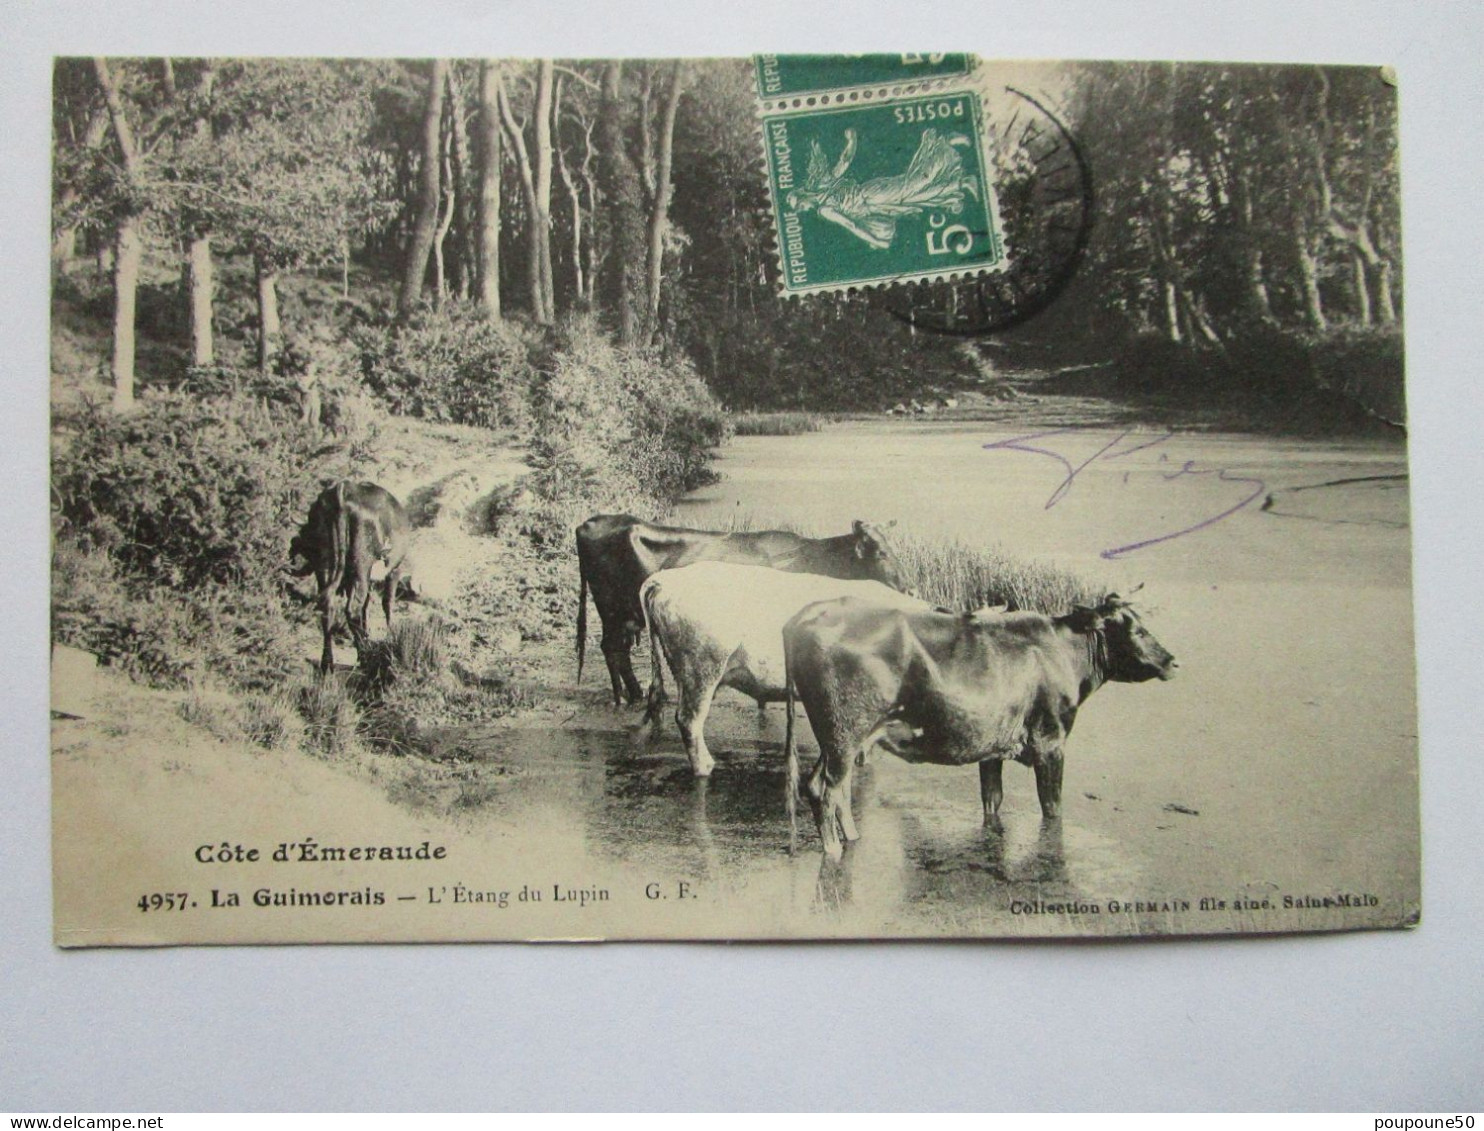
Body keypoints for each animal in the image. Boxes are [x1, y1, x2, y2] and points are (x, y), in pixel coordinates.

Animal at [289, 477, 412, 670]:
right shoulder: (394, 570)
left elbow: (366, 606)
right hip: (361, 565)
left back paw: (328, 663)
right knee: (352, 609)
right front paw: (391, 636)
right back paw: (364, 656)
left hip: (327, 564)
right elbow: (387, 603)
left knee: (329, 605)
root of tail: (342, 490)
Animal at [575, 513, 902, 706]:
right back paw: (627, 697)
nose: (904, 585)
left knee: (616, 650)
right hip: (612, 611)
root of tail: (592, 521)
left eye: (893, 549)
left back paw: (629, 693)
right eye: (879, 551)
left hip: (622, 616)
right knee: (613, 648)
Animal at [783, 590, 1175, 854]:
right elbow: (1052, 809)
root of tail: (810, 612)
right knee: (828, 790)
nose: (1172, 660)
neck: (1064, 654)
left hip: (838, 739)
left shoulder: (992, 747)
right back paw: (834, 851)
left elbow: (992, 800)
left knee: (825, 787)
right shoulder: (1050, 742)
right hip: (844, 734)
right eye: (1136, 630)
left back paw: (852, 838)